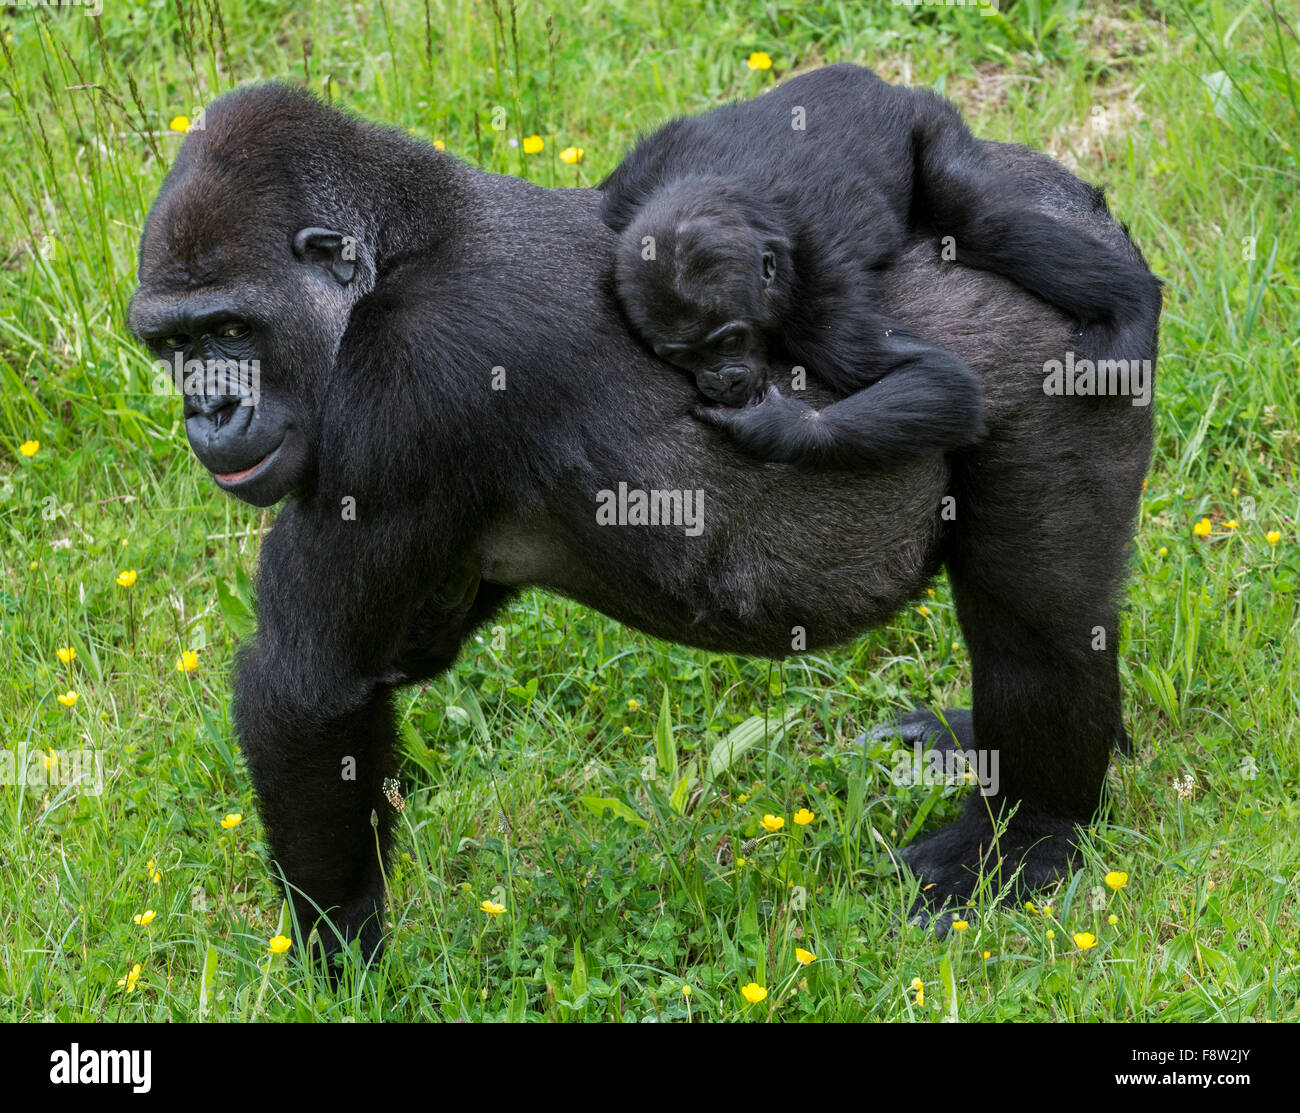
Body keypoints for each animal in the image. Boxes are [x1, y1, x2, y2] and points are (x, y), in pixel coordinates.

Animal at [598, 62, 1159, 470]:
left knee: (979, 220)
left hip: (926, 118)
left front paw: (775, 428)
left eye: (730, 340)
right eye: (682, 355)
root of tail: (875, 80)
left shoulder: (819, 305)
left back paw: (1131, 307)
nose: (722, 380)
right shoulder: (621, 195)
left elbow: (938, 380)